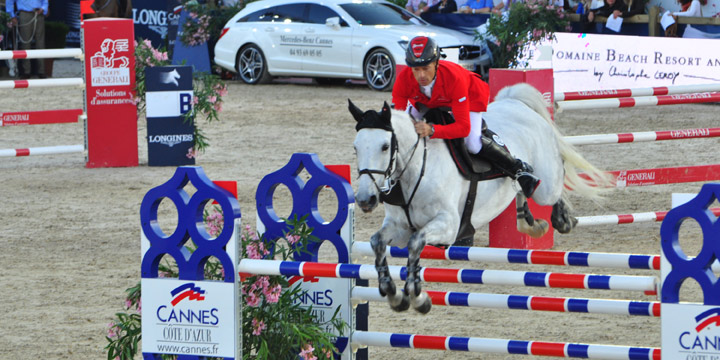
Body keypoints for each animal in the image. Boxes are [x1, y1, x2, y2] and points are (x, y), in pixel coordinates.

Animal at [348, 83, 608, 314]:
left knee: (551, 182)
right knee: (521, 186)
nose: (365, 199)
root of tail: (516, 102)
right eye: (355, 147)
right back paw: (530, 222)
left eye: (385, 146)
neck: (415, 170)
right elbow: (377, 242)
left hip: (546, 186)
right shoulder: (399, 227)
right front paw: (394, 295)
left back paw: (562, 218)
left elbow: (415, 243)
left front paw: (418, 297)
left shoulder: (448, 226)